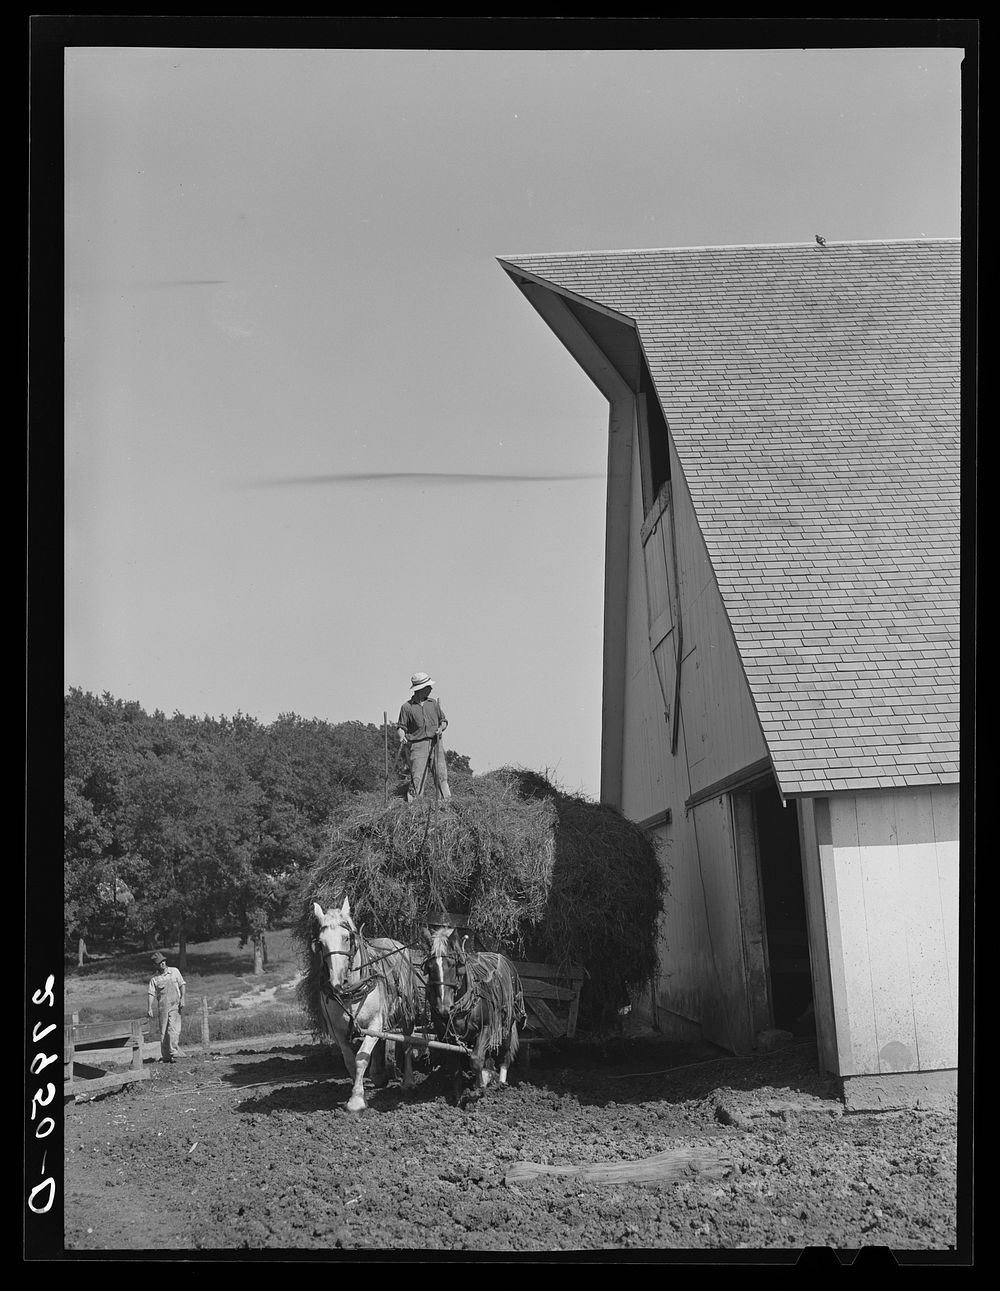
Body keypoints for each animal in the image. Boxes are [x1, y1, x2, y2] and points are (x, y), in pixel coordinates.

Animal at [312, 898, 423, 1110]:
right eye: (320, 943)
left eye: (347, 938)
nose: (336, 982)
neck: (350, 991)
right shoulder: (336, 1030)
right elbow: (349, 1061)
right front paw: (358, 1089)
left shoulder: (374, 1023)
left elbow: (361, 1058)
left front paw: (356, 1101)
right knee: (382, 1040)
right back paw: (379, 1075)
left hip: (407, 1013)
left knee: (406, 1043)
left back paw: (408, 1082)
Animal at [425, 929, 529, 1099]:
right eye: (429, 967)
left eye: (453, 965)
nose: (443, 1008)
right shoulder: (447, 1037)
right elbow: (455, 1068)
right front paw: (458, 1098)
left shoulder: (487, 1027)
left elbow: (475, 1059)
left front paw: (480, 1086)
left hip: (507, 1023)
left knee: (505, 1053)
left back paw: (500, 1083)